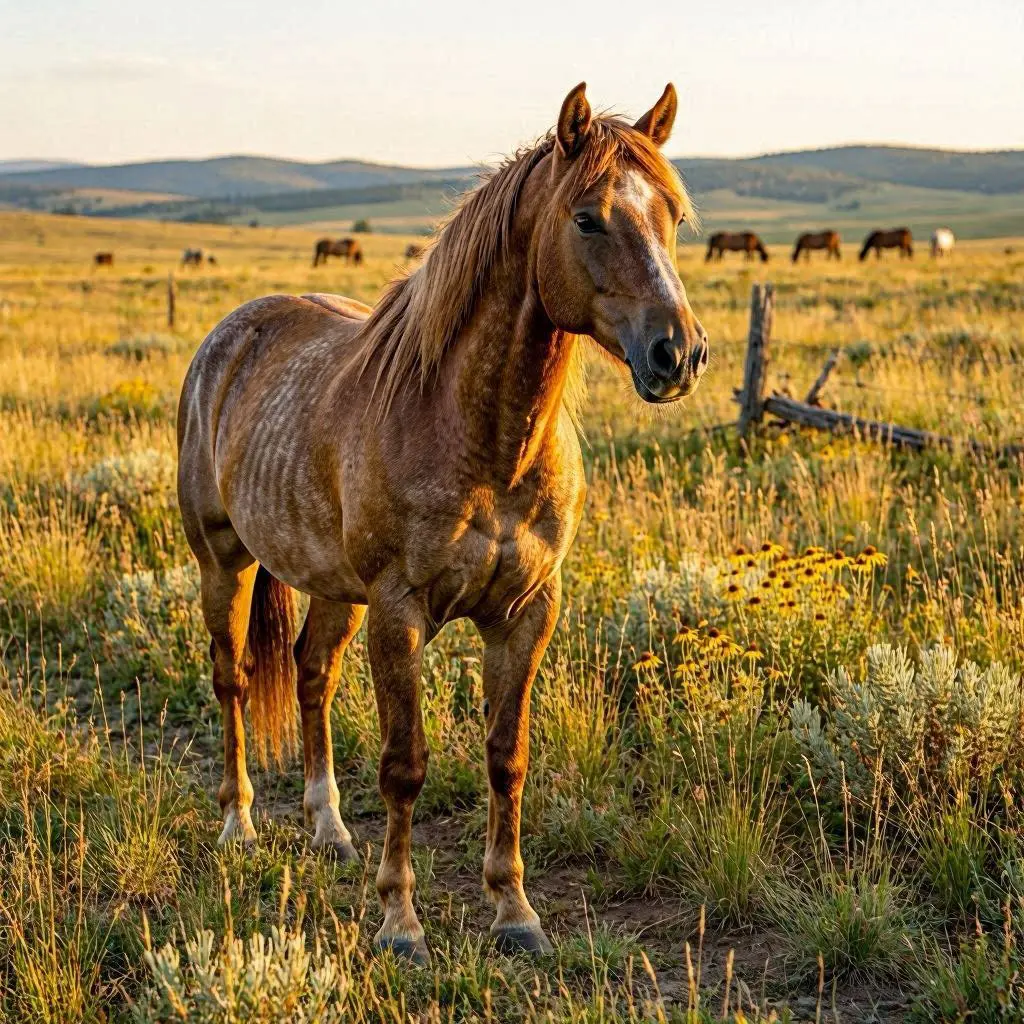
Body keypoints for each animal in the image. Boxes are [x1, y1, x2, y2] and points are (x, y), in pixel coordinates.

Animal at [177, 82, 707, 965]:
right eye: (588, 218)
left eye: (672, 214)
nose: (679, 353)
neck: (484, 436)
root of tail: (232, 331)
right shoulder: (400, 612)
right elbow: (405, 766)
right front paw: (400, 922)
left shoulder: (526, 613)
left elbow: (507, 757)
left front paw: (515, 911)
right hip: (224, 560)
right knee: (233, 680)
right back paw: (238, 824)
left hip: (333, 586)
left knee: (312, 675)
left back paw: (328, 830)